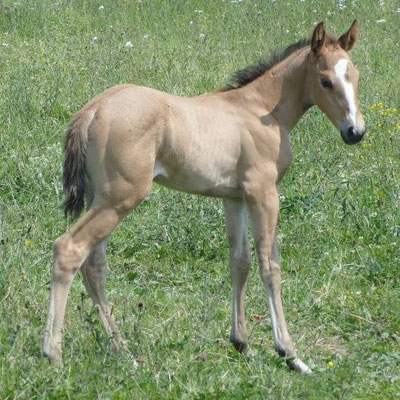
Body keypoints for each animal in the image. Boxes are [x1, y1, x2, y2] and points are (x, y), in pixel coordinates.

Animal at [43, 21, 366, 372]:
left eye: (356, 76)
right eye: (325, 80)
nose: (355, 132)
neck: (262, 108)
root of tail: (93, 110)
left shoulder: (234, 198)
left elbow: (240, 261)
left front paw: (242, 344)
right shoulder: (264, 193)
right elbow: (270, 266)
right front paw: (290, 354)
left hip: (100, 198)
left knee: (94, 263)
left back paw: (123, 350)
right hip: (121, 197)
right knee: (70, 248)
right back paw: (53, 354)